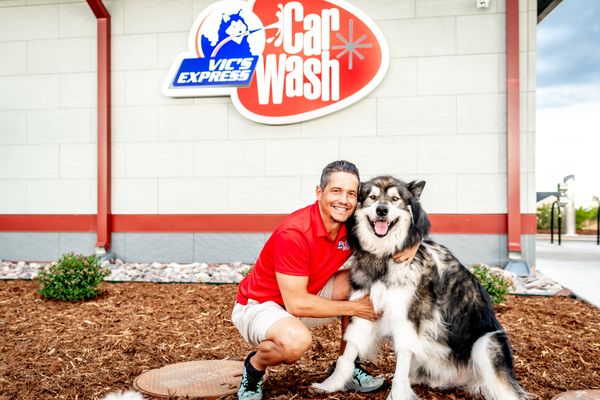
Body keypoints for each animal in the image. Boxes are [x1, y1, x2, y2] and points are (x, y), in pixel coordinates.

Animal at [312, 177, 528, 398]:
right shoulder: (363, 308)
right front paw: (331, 385)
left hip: (485, 344)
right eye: (372, 197)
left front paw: (397, 395)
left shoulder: (407, 319)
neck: (385, 257)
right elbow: (348, 353)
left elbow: (402, 358)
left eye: (395, 199)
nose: (382, 210)